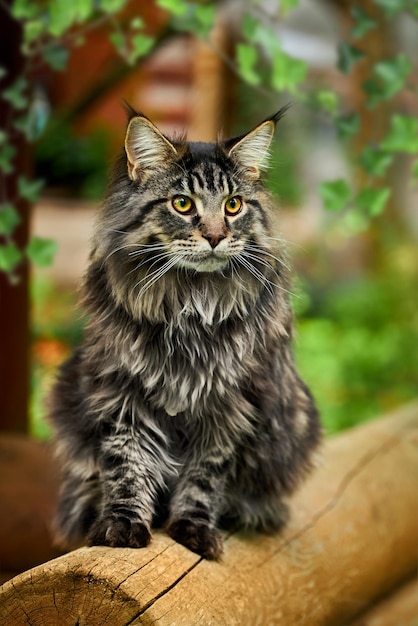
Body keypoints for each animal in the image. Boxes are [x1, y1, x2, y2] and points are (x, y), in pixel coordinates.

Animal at [49, 105, 324, 560]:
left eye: (233, 205)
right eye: (182, 204)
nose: (215, 236)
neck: (191, 303)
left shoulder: (229, 406)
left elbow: (204, 477)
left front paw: (194, 530)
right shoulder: (122, 395)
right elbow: (126, 467)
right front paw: (121, 526)